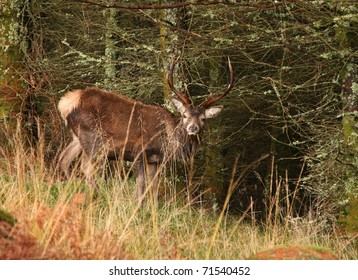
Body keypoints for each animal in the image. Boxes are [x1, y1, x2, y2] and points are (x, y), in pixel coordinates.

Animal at [57, 58, 234, 200]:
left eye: (203, 119)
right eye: (184, 115)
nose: (192, 128)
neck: (167, 140)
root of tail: (66, 103)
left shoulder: (155, 160)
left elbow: (153, 186)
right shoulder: (139, 151)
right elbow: (141, 185)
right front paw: (137, 205)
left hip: (77, 137)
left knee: (64, 158)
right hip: (94, 138)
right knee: (86, 167)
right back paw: (98, 195)